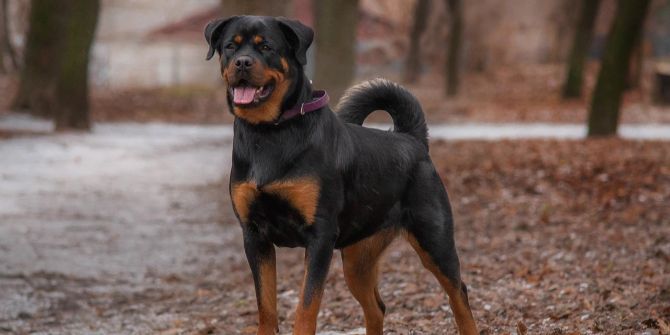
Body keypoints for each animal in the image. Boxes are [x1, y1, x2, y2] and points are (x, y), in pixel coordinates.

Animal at [203, 14, 478, 334]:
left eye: (267, 46)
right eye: (230, 47)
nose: (243, 62)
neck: (270, 132)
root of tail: (413, 139)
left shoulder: (320, 236)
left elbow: (306, 306)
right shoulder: (254, 236)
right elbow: (266, 308)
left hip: (434, 240)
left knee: (459, 294)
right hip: (358, 258)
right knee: (377, 307)